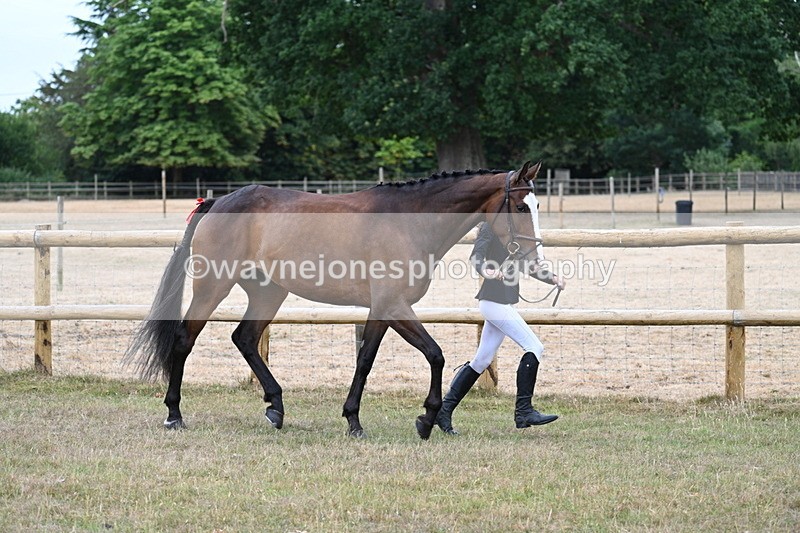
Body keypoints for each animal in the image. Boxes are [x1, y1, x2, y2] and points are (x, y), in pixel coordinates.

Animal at [125, 160, 546, 439]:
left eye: (537, 205)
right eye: (521, 206)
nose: (533, 258)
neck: (408, 221)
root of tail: (218, 202)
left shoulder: (382, 310)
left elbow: (365, 360)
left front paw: (354, 420)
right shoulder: (394, 306)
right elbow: (435, 354)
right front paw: (426, 420)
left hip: (268, 292)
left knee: (244, 338)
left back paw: (275, 409)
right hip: (213, 286)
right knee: (185, 340)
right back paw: (174, 414)